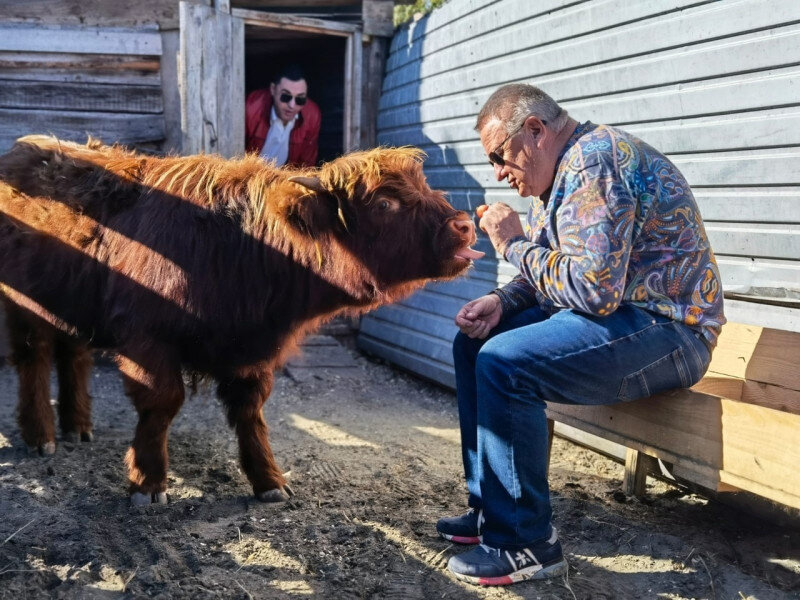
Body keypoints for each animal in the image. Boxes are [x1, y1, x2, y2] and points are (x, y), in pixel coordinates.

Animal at [0, 137, 482, 506]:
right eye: (384, 202)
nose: (463, 225)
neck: (239, 244)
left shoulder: (252, 353)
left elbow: (251, 412)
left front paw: (268, 480)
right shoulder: (148, 341)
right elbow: (161, 404)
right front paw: (148, 483)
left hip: (70, 301)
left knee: (73, 355)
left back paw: (78, 426)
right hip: (24, 306)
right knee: (33, 359)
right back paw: (41, 435)